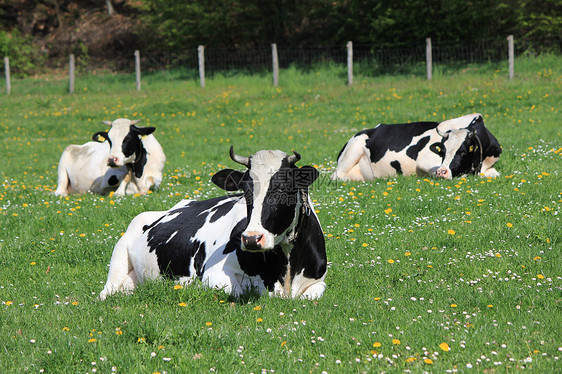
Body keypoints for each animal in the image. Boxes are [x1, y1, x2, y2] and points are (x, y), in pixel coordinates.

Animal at [328, 113, 498, 180]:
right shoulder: (425, 160)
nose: (442, 173)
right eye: (442, 152)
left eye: (462, 152)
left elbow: (494, 173)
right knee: (337, 176)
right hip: (352, 151)